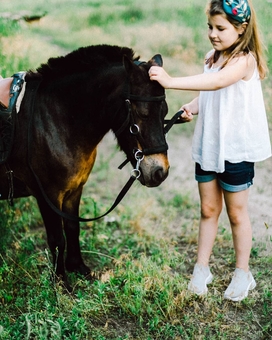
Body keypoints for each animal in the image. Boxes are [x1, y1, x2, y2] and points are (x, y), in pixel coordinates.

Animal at [0, 43, 169, 286]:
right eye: (140, 114)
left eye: (165, 111)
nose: (159, 172)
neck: (55, 120)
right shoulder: (47, 196)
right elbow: (57, 238)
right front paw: (61, 282)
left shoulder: (74, 190)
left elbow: (73, 228)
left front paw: (78, 268)